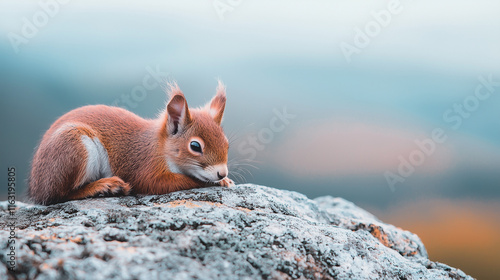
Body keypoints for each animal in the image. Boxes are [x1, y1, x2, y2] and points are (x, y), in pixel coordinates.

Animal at [28, 82, 234, 205]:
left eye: (227, 143)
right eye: (195, 146)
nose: (222, 173)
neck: (161, 147)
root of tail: (36, 186)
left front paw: (225, 181)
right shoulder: (146, 168)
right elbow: (164, 182)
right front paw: (215, 182)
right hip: (73, 146)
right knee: (58, 195)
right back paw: (105, 187)